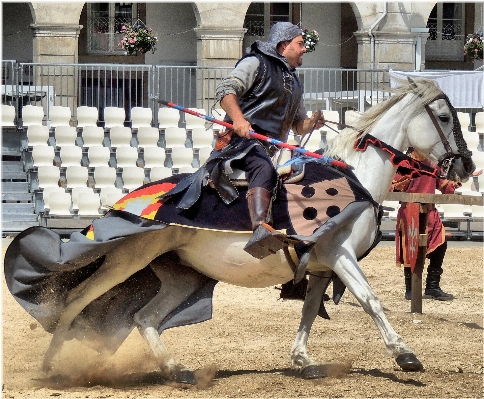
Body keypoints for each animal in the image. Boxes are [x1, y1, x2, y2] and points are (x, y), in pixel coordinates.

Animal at [2, 77, 472, 384]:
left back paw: (177, 370)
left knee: (143, 317)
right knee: (76, 300)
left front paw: (303, 360)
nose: (466, 166)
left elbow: (308, 311)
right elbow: (372, 302)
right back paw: (49, 367)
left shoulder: (321, 267)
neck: (357, 177)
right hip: (127, 257)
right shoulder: (340, 256)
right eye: (444, 116)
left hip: (182, 274)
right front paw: (406, 356)